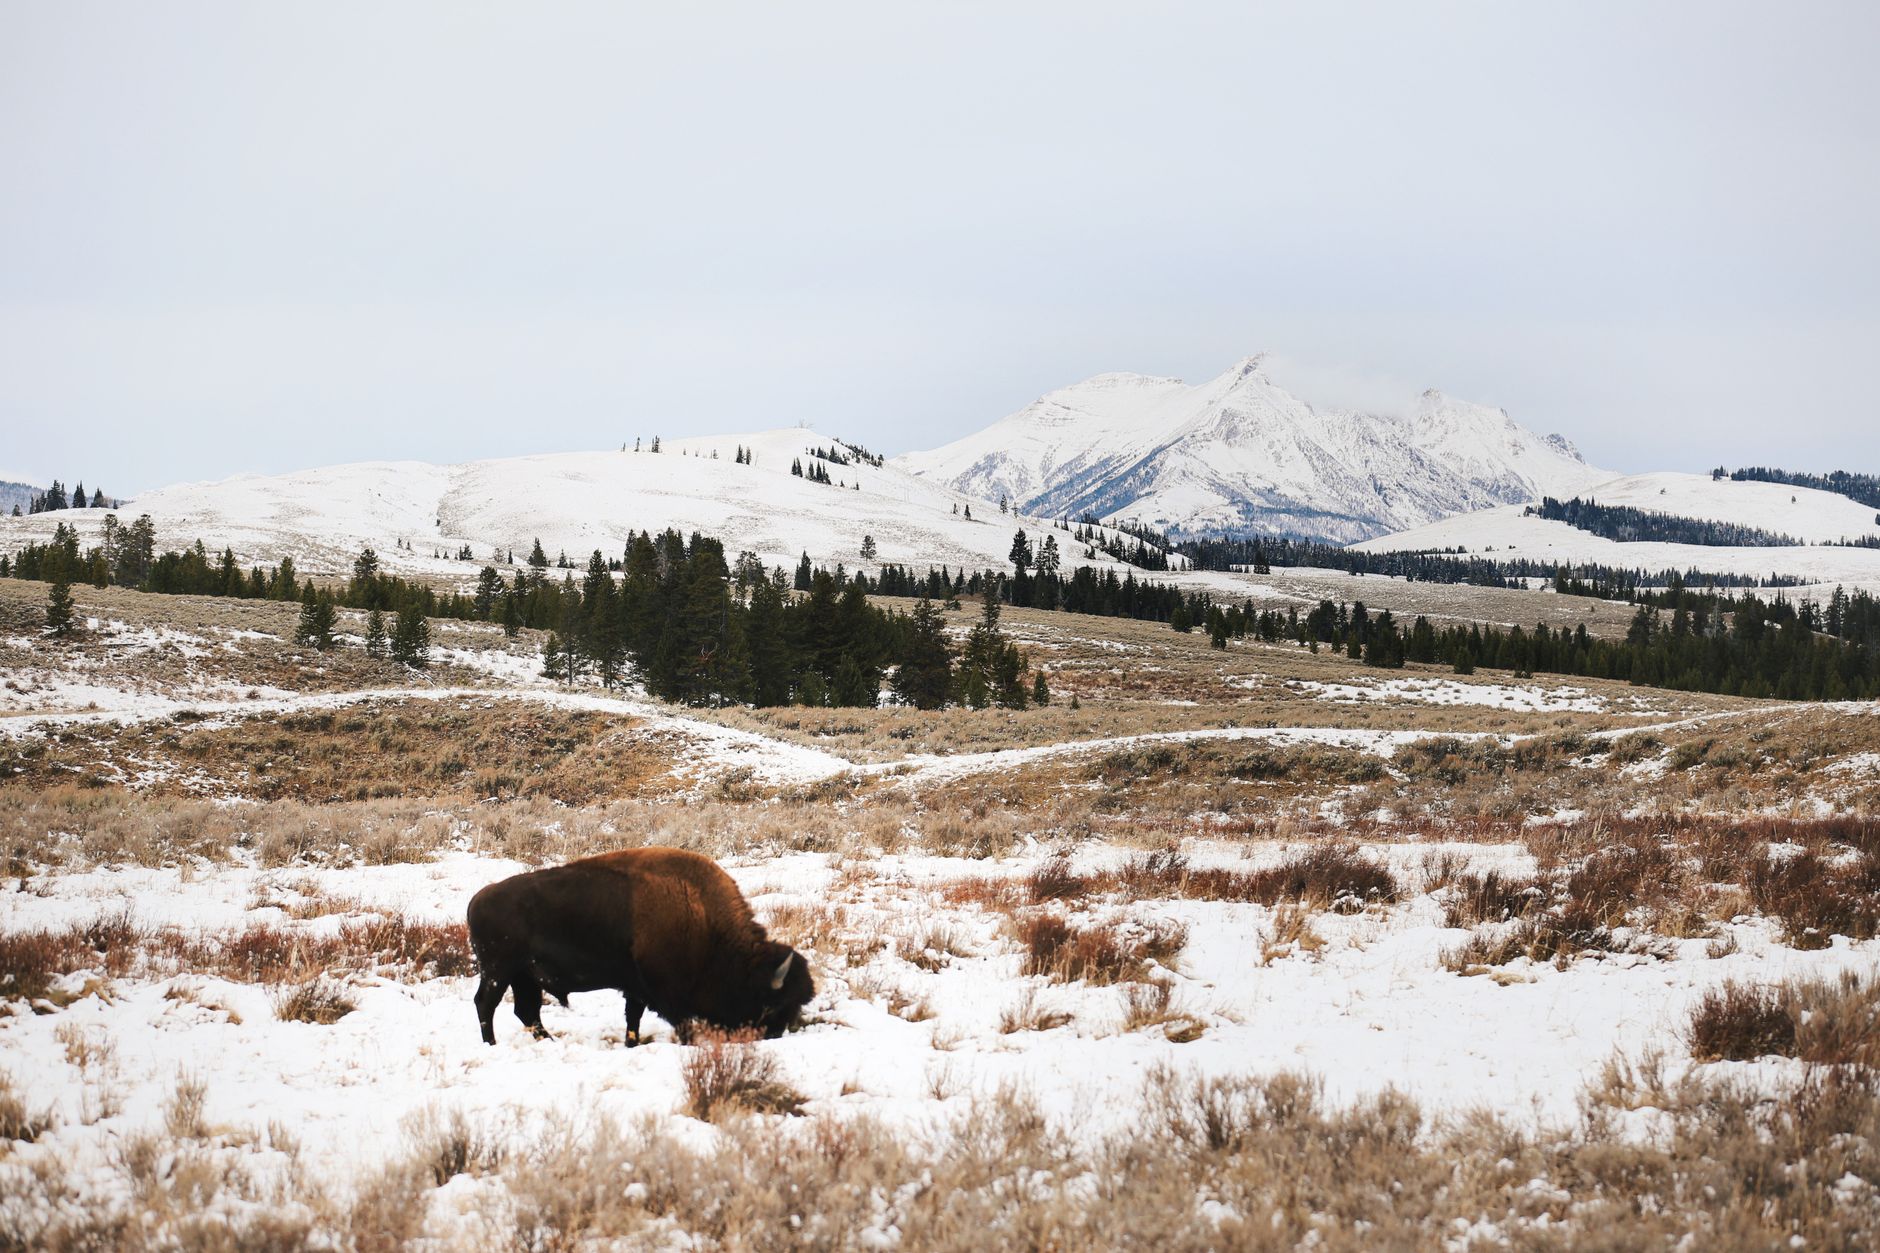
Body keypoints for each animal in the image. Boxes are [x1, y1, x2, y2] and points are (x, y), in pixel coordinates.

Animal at [466, 846, 813, 1046]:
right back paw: (491, 1045)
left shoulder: (635, 989)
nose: (774, 1036)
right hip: (498, 971)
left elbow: (632, 1018)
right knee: (486, 1004)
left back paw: (548, 1042)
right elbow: (680, 1024)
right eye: (774, 1004)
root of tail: (477, 900)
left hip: (524, 977)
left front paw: (630, 1044)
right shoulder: (666, 994)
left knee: (527, 1011)